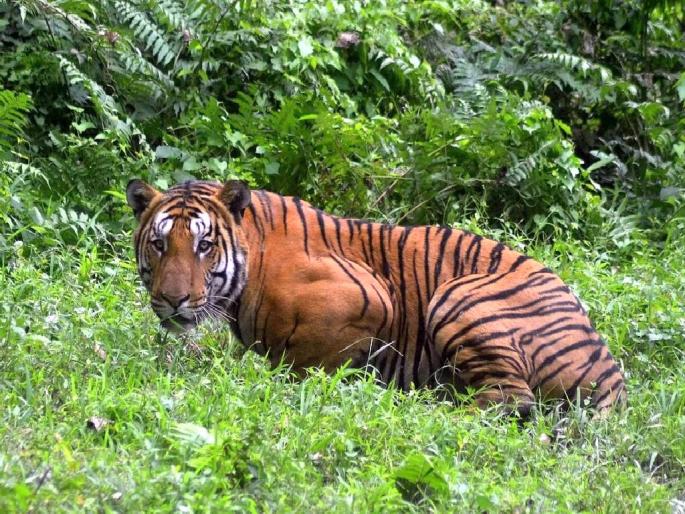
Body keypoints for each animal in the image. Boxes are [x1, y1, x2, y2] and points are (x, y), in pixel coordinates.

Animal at [126, 179, 626, 416]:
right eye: (159, 244)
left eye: (204, 245)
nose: (173, 299)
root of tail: (609, 370)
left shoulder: (369, 298)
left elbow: (306, 362)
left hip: (458, 296)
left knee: (511, 400)